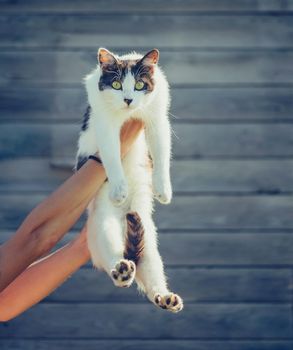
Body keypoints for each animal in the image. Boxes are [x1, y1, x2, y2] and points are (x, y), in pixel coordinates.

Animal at [76, 46, 182, 312]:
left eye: (139, 85)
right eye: (115, 84)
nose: (128, 99)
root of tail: (127, 215)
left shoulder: (158, 120)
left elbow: (162, 153)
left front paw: (163, 190)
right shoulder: (105, 125)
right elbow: (112, 157)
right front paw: (119, 189)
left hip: (149, 239)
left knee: (148, 269)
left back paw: (166, 298)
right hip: (103, 225)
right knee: (116, 255)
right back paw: (122, 271)